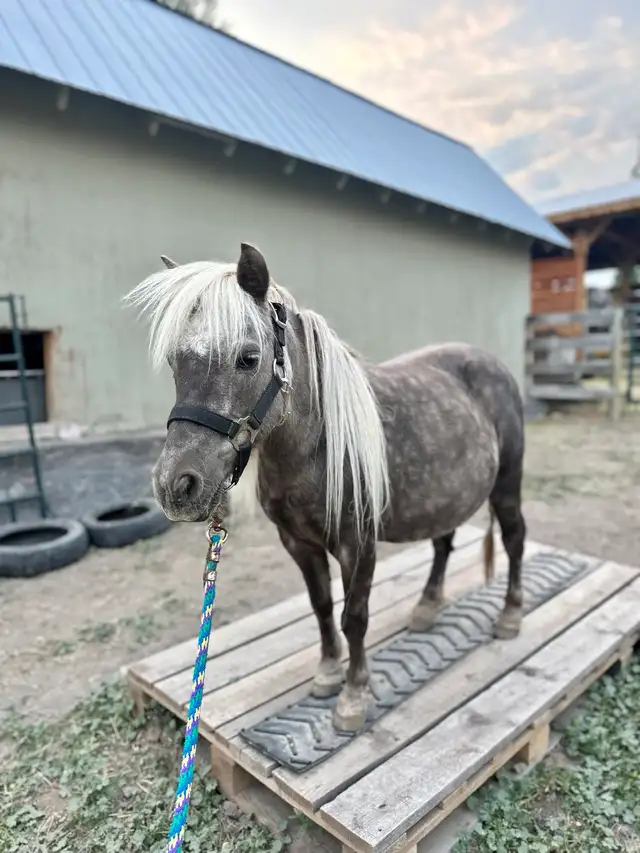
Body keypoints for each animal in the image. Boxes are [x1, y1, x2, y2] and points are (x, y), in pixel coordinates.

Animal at [126, 243, 526, 733]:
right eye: (174, 362)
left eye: (248, 358)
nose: (176, 485)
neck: (316, 447)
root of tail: (492, 364)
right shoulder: (299, 544)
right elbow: (321, 607)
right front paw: (328, 673)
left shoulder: (359, 545)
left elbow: (354, 617)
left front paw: (353, 697)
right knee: (443, 543)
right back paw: (428, 606)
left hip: (506, 486)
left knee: (514, 539)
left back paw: (510, 614)